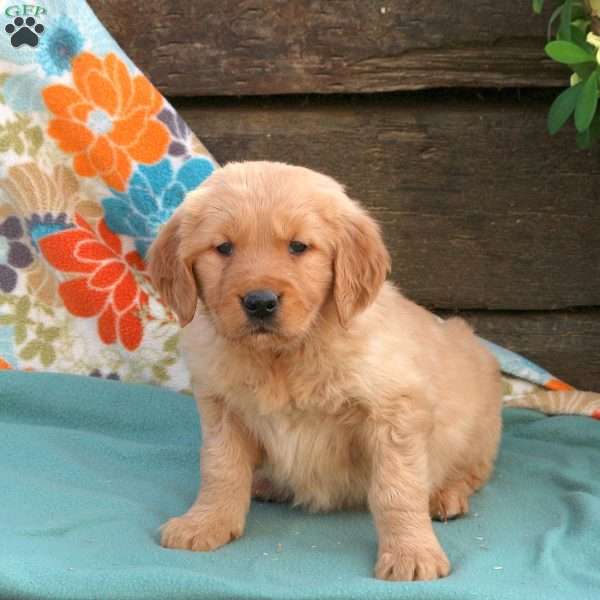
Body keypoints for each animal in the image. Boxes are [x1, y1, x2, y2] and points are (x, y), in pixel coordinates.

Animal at [148, 161, 504, 580]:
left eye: (298, 246)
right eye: (223, 248)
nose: (260, 302)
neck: (283, 356)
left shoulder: (394, 411)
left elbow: (397, 488)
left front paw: (411, 553)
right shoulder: (221, 407)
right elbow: (220, 468)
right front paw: (205, 522)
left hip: (477, 425)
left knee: (473, 469)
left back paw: (446, 495)